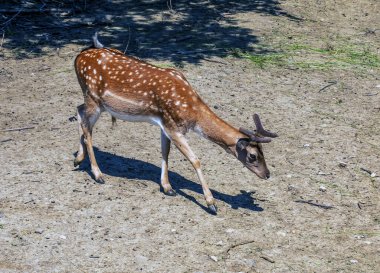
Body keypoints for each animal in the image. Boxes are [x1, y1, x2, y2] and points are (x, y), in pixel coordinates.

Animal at [72, 34, 278, 212]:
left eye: (263, 152)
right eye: (252, 156)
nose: (267, 174)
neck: (192, 112)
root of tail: (79, 56)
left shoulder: (165, 125)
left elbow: (165, 151)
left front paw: (167, 187)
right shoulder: (174, 127)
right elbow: (195, 159)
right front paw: (211, 203)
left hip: (94, 101)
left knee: (79, 111)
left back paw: (78, 158)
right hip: (93, 98)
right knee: (87, 127)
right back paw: (98, 174)